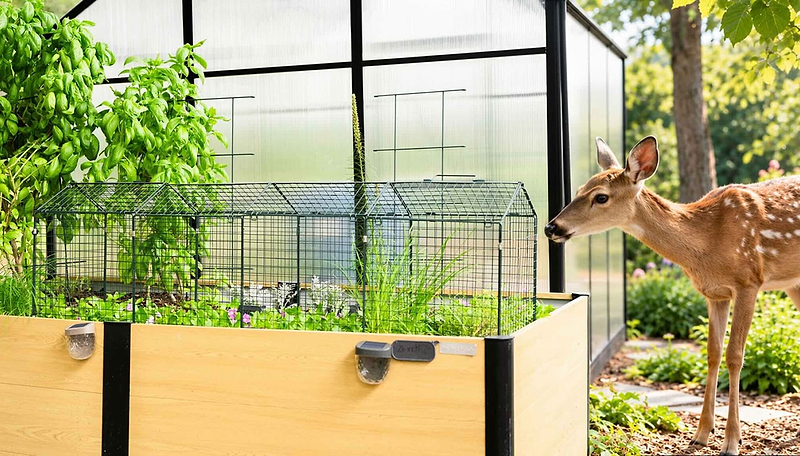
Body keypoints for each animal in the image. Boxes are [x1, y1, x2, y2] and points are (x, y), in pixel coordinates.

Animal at [545, 136, 800, 455]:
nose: (551, 227)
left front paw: (731, 441)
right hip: (793, 284)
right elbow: (713, 353)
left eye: (601, 197)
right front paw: (701, 434)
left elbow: (735, 356)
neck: (707, 243)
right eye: (579, 190)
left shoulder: (748, 281)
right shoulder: (714, 293)